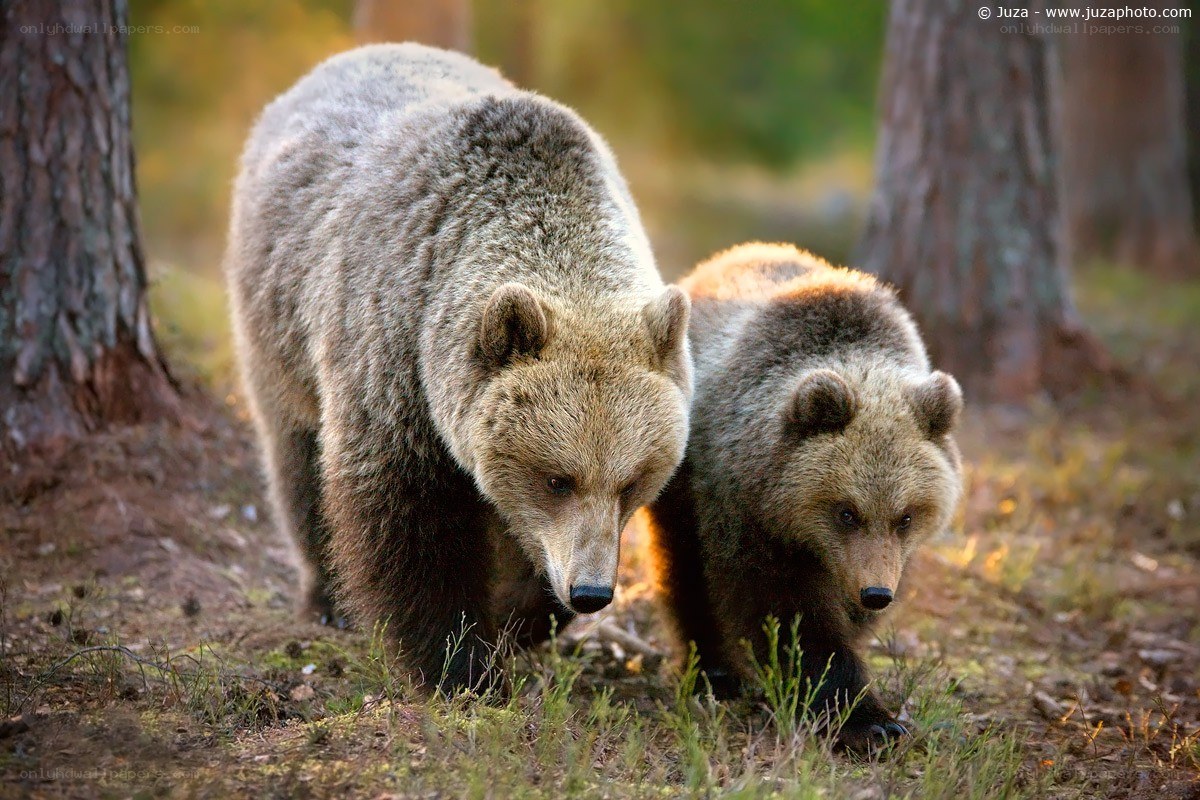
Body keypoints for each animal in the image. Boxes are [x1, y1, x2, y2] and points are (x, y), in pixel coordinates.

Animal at [225, 44, 693, 694]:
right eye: (558, 478)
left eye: (632, 482)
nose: (592, 592)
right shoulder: (394, 355)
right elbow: (408, 519)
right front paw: (458, 663)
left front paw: (520, 615)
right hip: (278, 323)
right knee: (296, 458)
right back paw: (327, 595)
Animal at [644, 242, 962, 751]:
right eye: (846, 512)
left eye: (906, 516)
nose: (876, 594)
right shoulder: (744, 507)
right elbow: (788, 614)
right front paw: (866, 719)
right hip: (679, 474)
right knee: (685, 565)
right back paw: (713, 671)